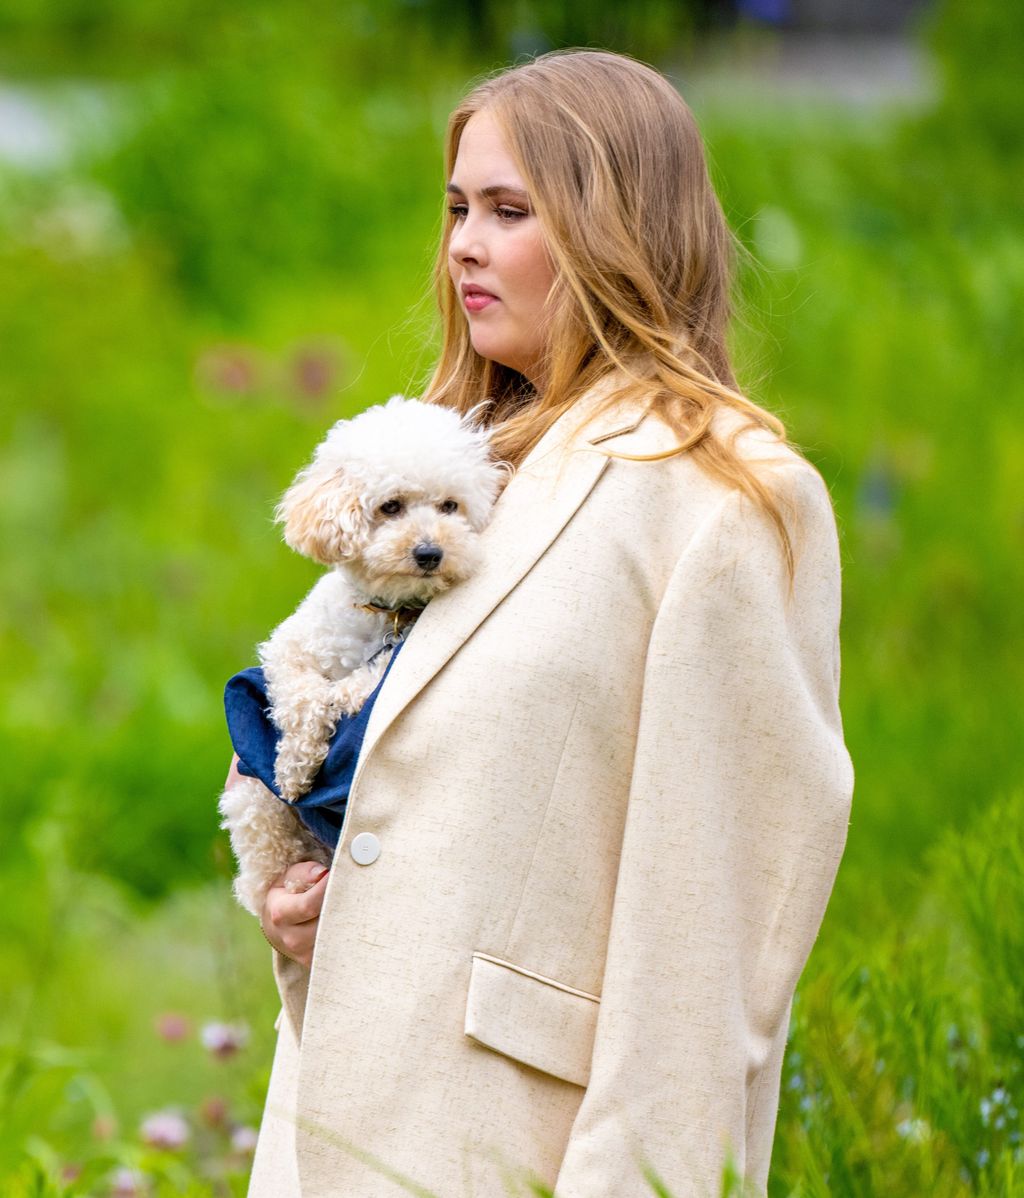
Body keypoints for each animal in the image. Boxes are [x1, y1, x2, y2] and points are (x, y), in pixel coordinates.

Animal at [220, 400, 505, 915]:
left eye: (449, 506)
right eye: (390, 506)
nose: (430, 552)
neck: (386, 611)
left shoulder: (394, 652)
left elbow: (367, 680)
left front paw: (346, 695)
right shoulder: (286, 649)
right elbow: (301, 696)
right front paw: (294, 768)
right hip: (253, 805)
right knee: (264, 865)